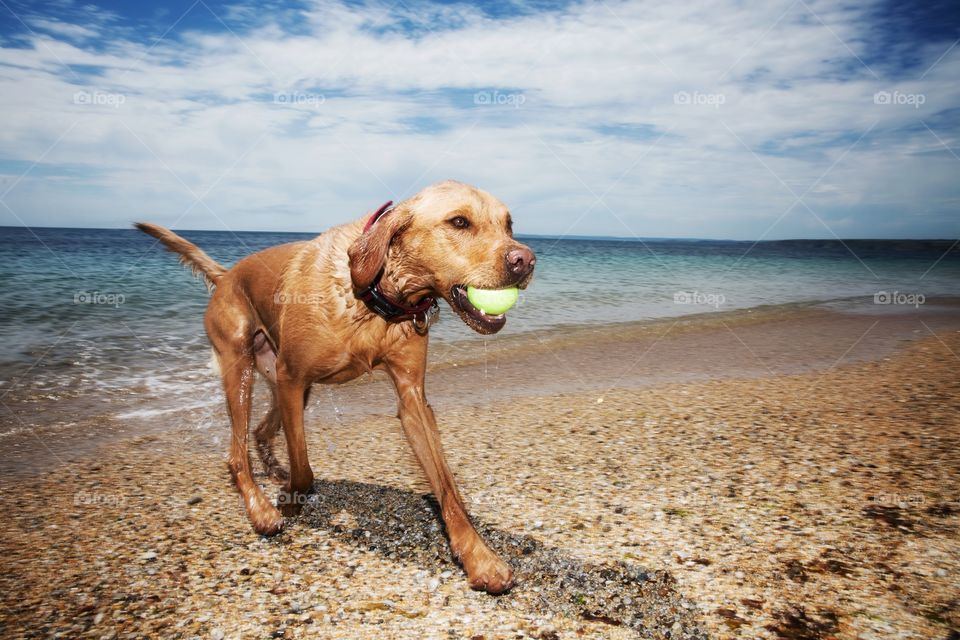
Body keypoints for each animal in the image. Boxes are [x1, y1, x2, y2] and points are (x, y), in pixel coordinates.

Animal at [137, 178, 532, 592]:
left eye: (509, 225)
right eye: (459, 222)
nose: (525, 260)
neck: (376, 296)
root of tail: (227, 275)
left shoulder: (411, 399)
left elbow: (448, 487)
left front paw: (479, 557)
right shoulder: (292, 377)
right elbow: (305, 470)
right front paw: (290, 501)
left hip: (282, 378)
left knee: (260, 431)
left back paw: (273, 471)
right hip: (241, 367)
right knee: (236, 453)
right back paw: (260, 509)